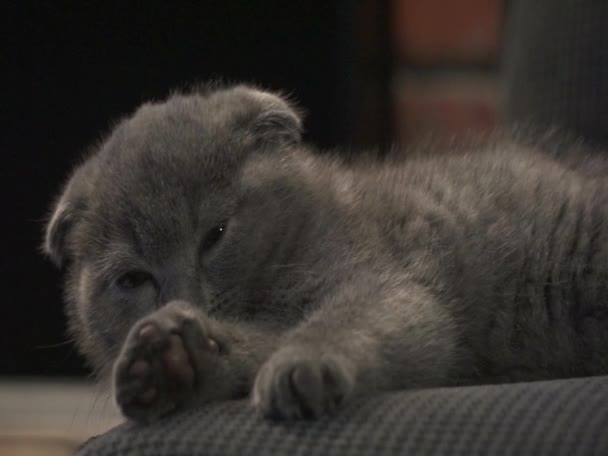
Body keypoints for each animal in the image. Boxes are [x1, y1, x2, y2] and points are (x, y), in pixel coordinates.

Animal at [44, 84, 608, 420]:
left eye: (216, 234)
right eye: (134, 279)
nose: (184, 299)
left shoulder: (382, 278)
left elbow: (353, 318)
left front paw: (303, 364)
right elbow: (258, 343)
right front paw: (174, 361)